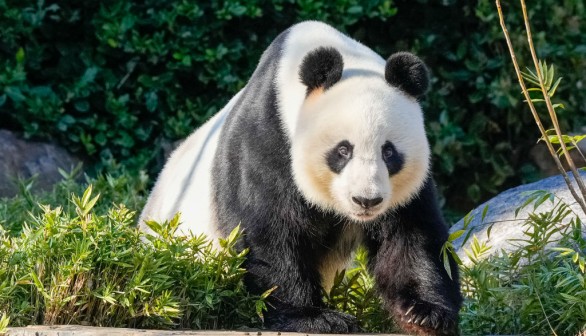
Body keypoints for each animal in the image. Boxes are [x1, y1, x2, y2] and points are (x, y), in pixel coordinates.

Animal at [141, 21, 460, 336]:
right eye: (343, 150)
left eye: (389, 152)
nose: (366, 200)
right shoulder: (267, 138)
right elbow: (269, 231)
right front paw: (315, 317)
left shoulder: (404, 189)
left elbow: (411, 235)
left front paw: (423, 314)